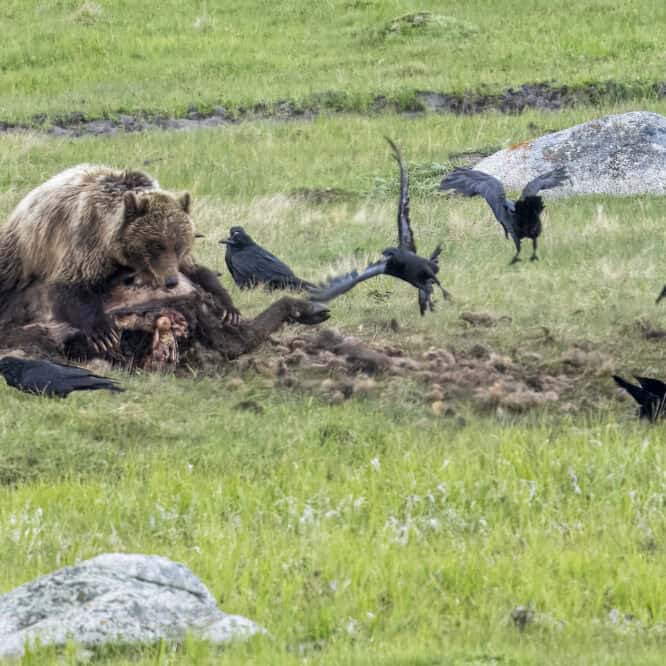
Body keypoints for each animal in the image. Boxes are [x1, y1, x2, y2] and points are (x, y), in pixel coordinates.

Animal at [0, 164, 239, 353]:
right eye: (156, 245)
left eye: (179, 245)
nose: (171, 280)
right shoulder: (84, 239)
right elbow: (70, 287)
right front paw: (103, 334)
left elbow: (198, 271)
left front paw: (229, 309)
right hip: (22, 247)